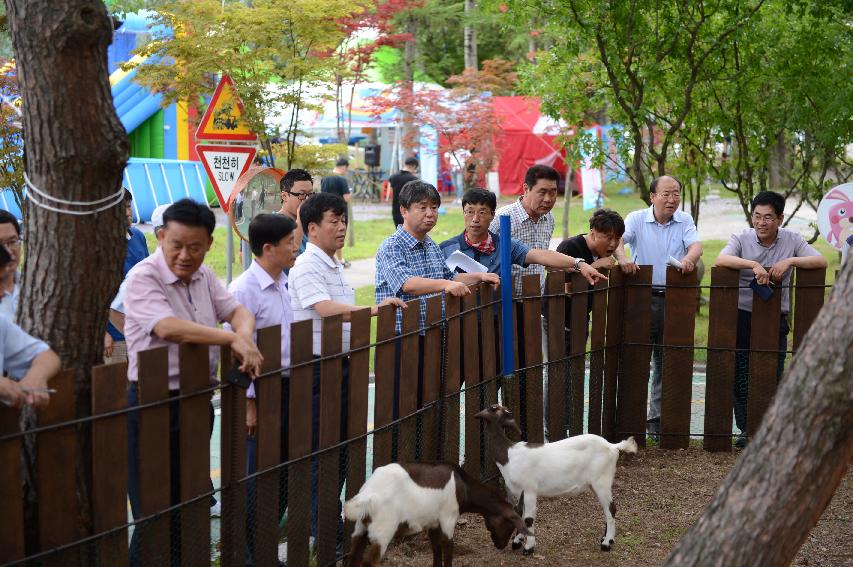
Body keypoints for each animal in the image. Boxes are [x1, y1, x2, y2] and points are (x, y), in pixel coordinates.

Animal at [342, 464, 528, 564]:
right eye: (510, 525)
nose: (500, 545)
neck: (463, 486)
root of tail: (369, 494)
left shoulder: (432, 524)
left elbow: (437, 552)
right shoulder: (448, 519)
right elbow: (448, 550)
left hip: (360, 529)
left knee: (353, 558)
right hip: (383, 531)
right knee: (368, 562)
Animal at [476, 404, 636, 556]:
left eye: (493, 409)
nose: (478, 414)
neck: (509, 454)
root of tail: (612, 446)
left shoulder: (530, 488)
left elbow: (528, 519)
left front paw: (528, 548)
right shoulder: (518, 491)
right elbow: (519, 514)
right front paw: (517, 542)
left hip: (602, 481)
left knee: (611, 509)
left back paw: (606, 544)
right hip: (595, 483)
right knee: (607, 509)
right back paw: (605, 539)